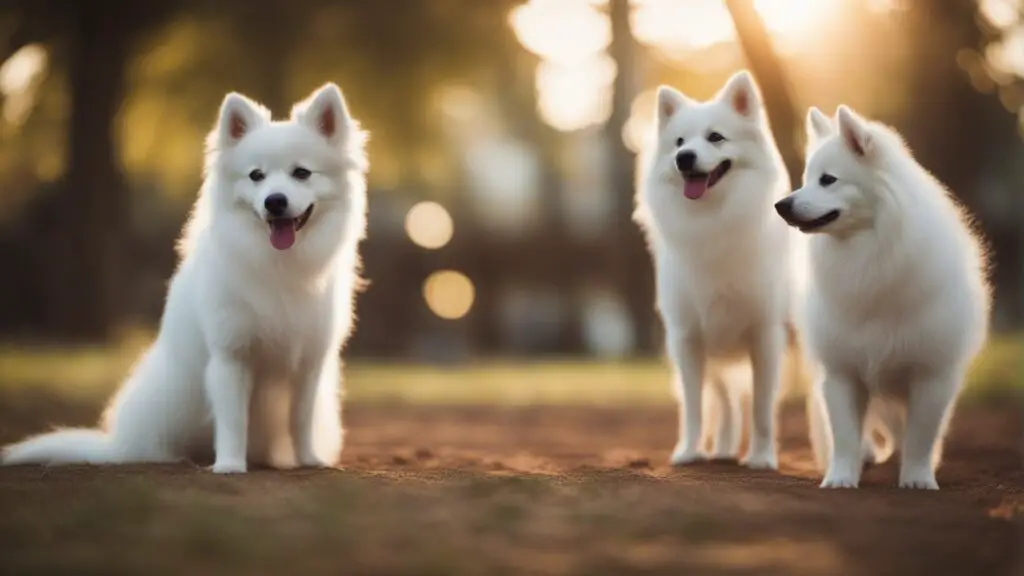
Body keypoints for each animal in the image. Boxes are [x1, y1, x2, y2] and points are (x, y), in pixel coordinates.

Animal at [0, 83, 368, 473]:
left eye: (301, 173)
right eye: (256, 176)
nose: (275, 201)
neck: (278, 263)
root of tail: (116, 444)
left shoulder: (309, 364)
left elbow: (300, 419)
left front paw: (310, 460)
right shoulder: (230, 355)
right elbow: (233, 419)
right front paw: (230, 465)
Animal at [630, 71, 798, 467]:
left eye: (716, 137)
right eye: (678, 142)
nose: (684, 157)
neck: (713, 221)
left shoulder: (765, 335)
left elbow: (762, 407)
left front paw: (762, 457)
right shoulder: (688, 337)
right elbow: (693, 408)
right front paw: (688, 452)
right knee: (726, 403)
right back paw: (721, 449)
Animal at [774, 105, 991, 485]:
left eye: (827, 179)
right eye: (805, 178)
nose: (781, 205)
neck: (870, 255)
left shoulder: (931, 373)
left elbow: (921, 435)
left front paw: (917, 478)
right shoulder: (842, 370)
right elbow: (845, 434)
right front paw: (841, 478)